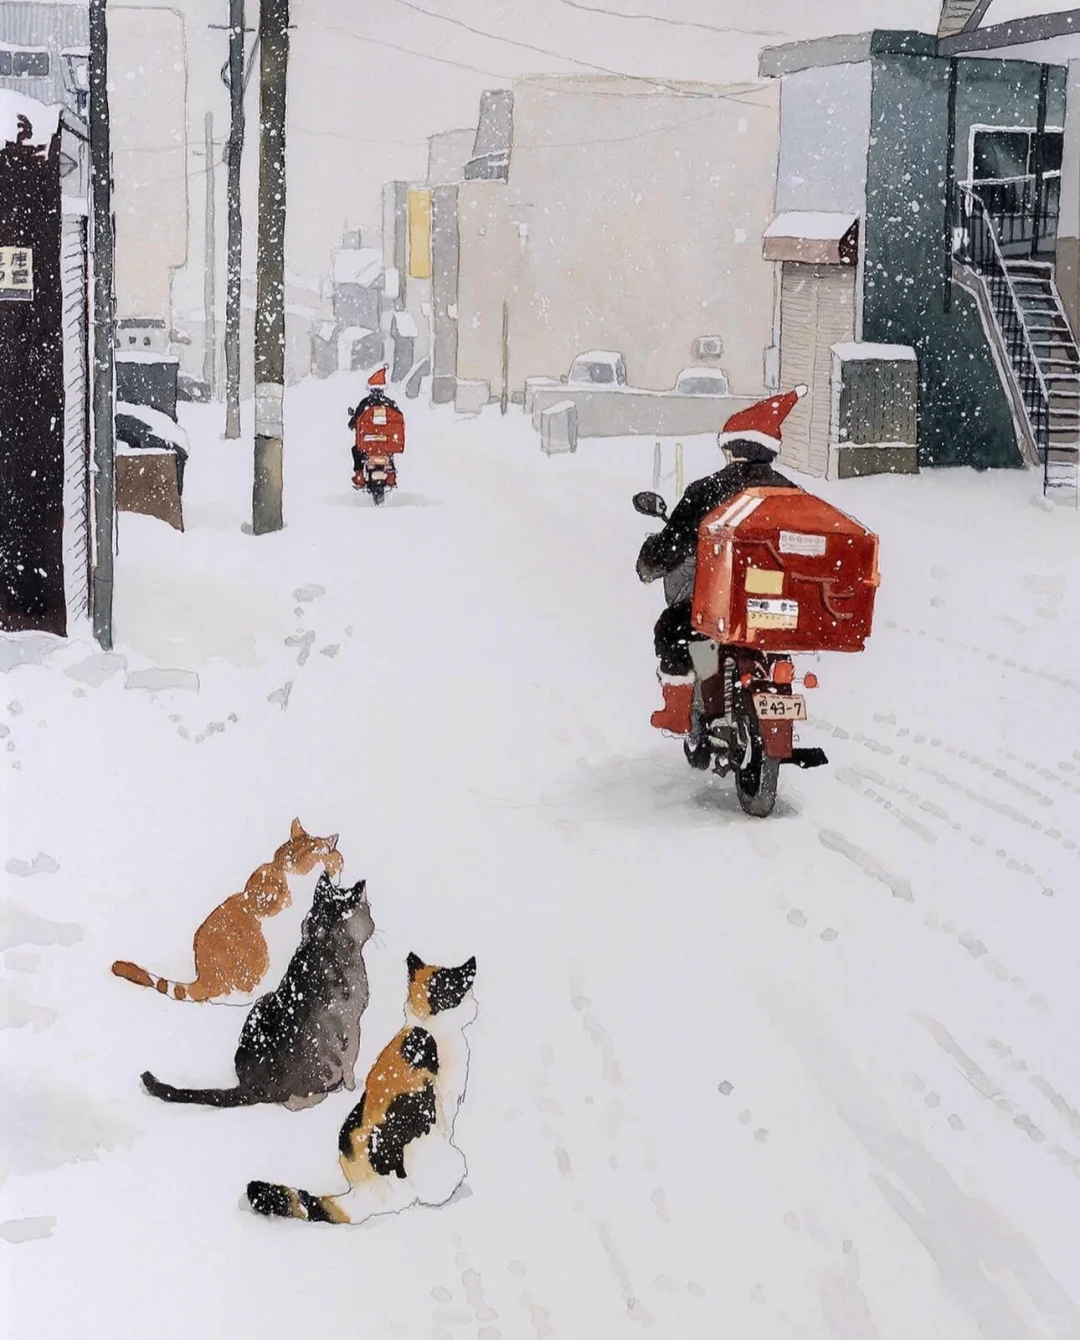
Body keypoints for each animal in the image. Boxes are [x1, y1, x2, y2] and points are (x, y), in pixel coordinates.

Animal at [139, 868, 375, 1109]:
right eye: (369, 910)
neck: (322, 941)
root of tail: (252, 1088)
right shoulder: (353, 1023)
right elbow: (350, 1060)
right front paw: (353, 1087)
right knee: (293, 1100)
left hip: (261, 1003)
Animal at [251, 954, 479, 1227]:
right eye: (464, 991)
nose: (475, 1004)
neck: (425, 1027)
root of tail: (363, 1193)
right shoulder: (445, 1102)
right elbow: (447, 1127)